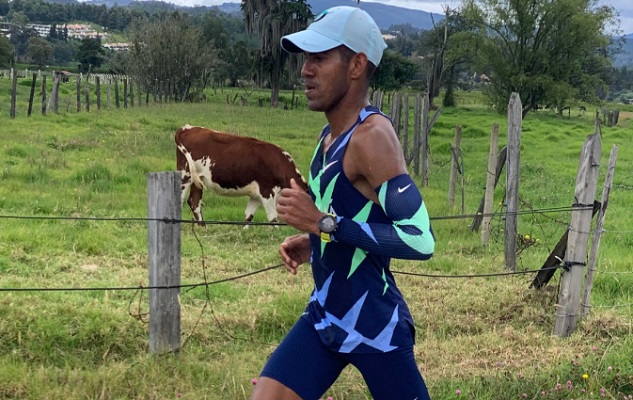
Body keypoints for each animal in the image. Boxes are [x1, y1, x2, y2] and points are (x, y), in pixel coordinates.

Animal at [175, 125, 308, 225]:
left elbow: (248, 216)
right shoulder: (267, 191)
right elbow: (272, 218)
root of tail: (187, 128)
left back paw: (203, 228)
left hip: (198, 180)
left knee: (194, 202)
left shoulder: (256, 196)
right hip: (185, 175)